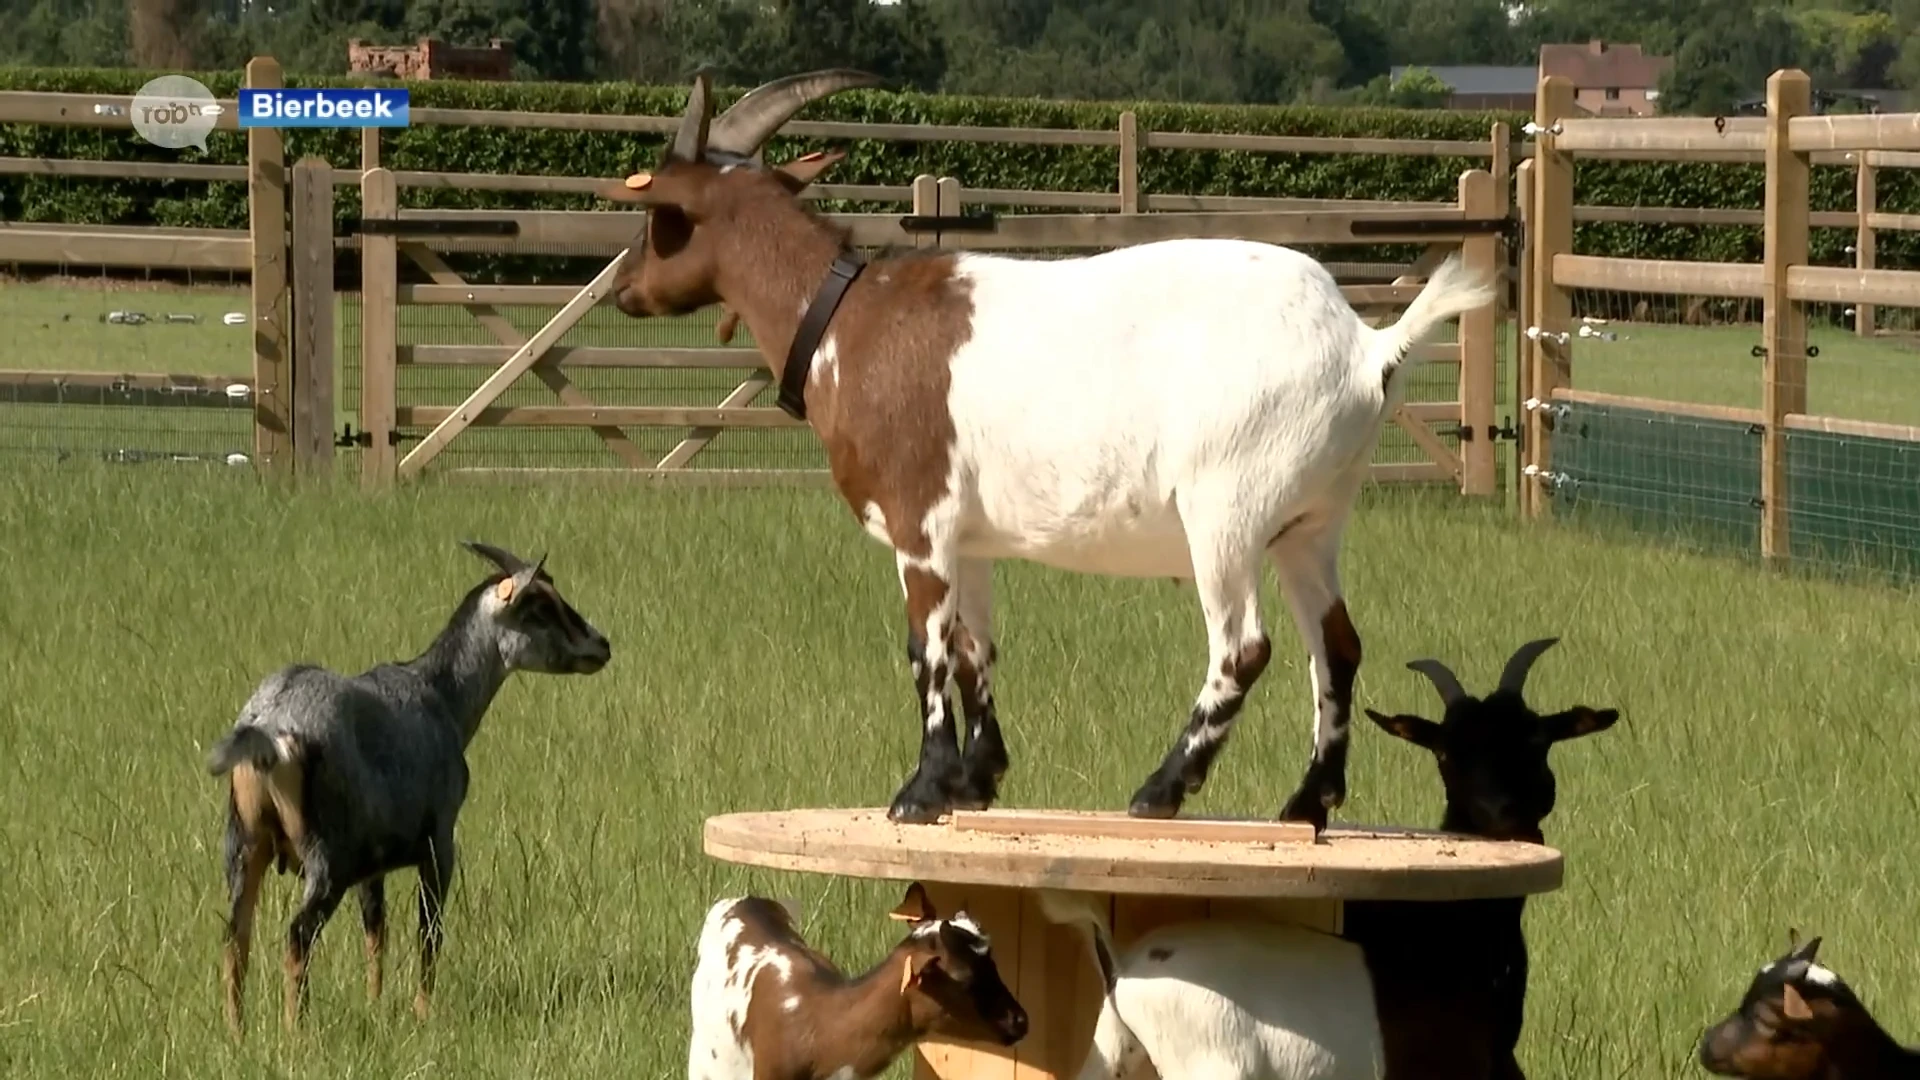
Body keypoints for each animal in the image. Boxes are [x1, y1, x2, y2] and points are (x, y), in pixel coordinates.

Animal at [204, 538, 606, 1037]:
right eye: (542, 605)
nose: (601, 645)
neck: (438, 694)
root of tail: (267, 727)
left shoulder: (371, 867)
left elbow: (376, 931)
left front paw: (376, 1005)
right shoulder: (438, 843)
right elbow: (429, 932)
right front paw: (421, 1013)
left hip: (244, 846)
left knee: (234, 938)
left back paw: (236, 1034)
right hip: (326, 863)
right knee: (297, 937)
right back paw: (296, 1035)